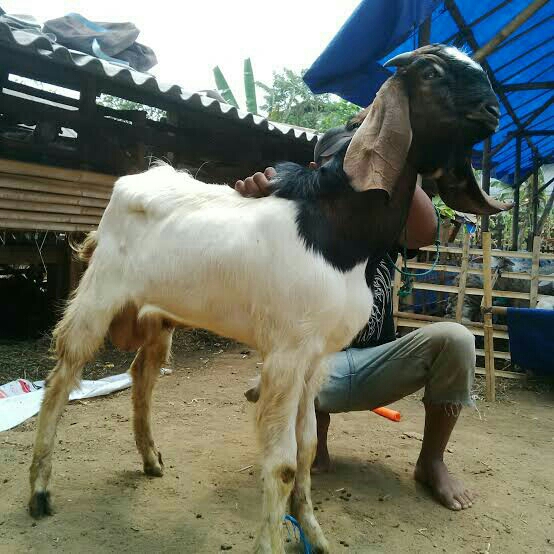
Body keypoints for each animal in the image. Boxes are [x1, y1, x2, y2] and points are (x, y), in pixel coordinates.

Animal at [27, 45, 508, 548]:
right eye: (432, 73)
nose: (492, 110)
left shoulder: (315, 360)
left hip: (159, 316)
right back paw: (40, 491)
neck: (336, 230)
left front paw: (314, 534)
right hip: (98, 296)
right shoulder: (284, 355)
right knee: (61, 377)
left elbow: (308, 447)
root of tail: (133, 183)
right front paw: (273, 541)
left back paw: (150, 460)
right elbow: (282, 464)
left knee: (142, 374)